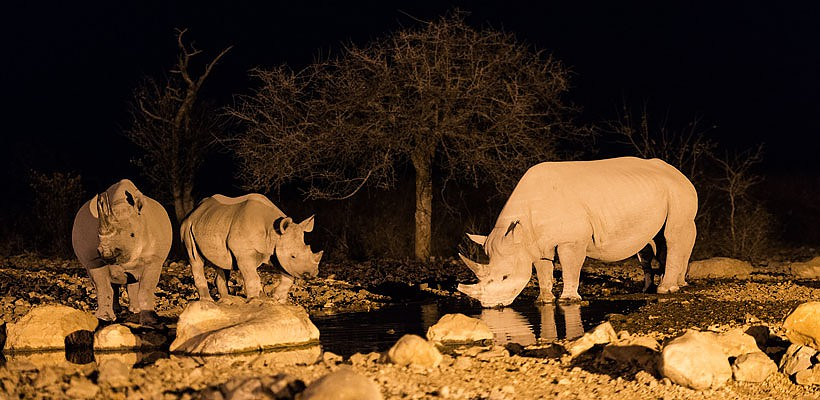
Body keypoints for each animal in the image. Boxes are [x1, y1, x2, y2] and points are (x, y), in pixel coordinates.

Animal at [71, 180, 172, 324]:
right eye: (97, 236)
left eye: (132, 235)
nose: (107, 253)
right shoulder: (93, 261)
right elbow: (103, 288)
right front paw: (104, 318)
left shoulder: (154, 259)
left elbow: (146, 289)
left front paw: (150, 321)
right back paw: (118, 310)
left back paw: (135, 310)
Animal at [181, 195, 322, 304]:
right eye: (293, 256)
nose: (312, 274)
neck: (274, 233)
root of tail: (194, 211)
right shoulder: (244, 253)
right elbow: (253, 277)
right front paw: (254, 300)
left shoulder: (277, 253)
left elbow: (288, 277)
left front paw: (277, 299)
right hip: (187, 226)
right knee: (195, 259)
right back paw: (208, 301)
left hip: (212, 222)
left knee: (221, 262)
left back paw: (227, 300)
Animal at [458, 156, 696, 306]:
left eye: (505, 276)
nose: (490, 306)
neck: (522, 232)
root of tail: (681, 174)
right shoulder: (535, 243)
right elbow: (543, 270)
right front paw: (544, 300)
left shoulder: (572, 241)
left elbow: (570, 266)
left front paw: (568, 299)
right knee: (653, 243)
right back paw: (666, 287)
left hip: (678, 191)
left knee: (674, 235)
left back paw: (666, 290)